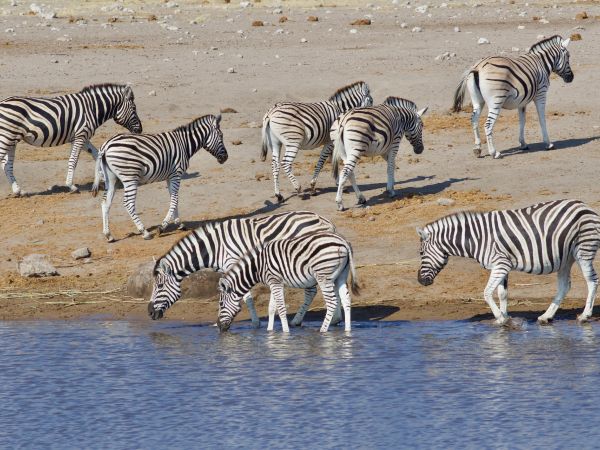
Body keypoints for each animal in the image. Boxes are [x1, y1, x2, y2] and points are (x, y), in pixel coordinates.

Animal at [0, 83, 142, 195]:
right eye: (134, 108)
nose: (140, 130)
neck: (91, 108)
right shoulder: (80, 135)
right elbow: (73, 160)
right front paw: (71, 186)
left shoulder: (82, 137)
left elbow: (97, 155)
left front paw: (102, 177)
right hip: (6, 137)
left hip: (12, 139)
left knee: (7, 165)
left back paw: (18, 191)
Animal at [91, 115, 227, 243]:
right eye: (221, 136)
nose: (225, 157)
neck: (184, 144)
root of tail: (106, 146)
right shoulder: (176, 174)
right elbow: (174, 200)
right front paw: (162, 227)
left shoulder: (170, 177)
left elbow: (174, 198)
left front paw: (179, 223)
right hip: (130, 177)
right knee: (128, 203)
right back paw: (144, 232)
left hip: (111, 179)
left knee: (105, 203)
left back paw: (108, 235)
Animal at [146, 211, 338, 326]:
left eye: (160, 286)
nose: (149, 312)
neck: (214, 248)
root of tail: (325, 220)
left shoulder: (233, 262)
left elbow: (246, 297)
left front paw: (254, 323)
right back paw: (336, 319)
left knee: (311, 291)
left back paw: (297, 320)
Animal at [217, 230, 358, 332]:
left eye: (221, 304)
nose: (219, 326)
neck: (257, 266)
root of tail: (343, 241)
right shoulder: (275, 282)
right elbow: (272, 308)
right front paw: (269, 331)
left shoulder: (275, 282)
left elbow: (280, 308)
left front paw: (285, 332)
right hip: (341, 276)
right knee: (346, 299)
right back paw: (348, 331)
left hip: (323, 276)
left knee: (332, 302)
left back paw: (323, 330)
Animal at [418, 200, 600, 324]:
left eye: (421, 253)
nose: (420, 281)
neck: (477, 238)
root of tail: (586, 207)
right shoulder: (502, 266)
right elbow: (502, 294)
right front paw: (505, 319)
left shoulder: (500, 265)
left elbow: (486, 293)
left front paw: (500, 317)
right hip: (566, 258)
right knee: (564, 286)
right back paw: (546, 316)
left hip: (583, 250)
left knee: (592, 280)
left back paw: (585, 316)